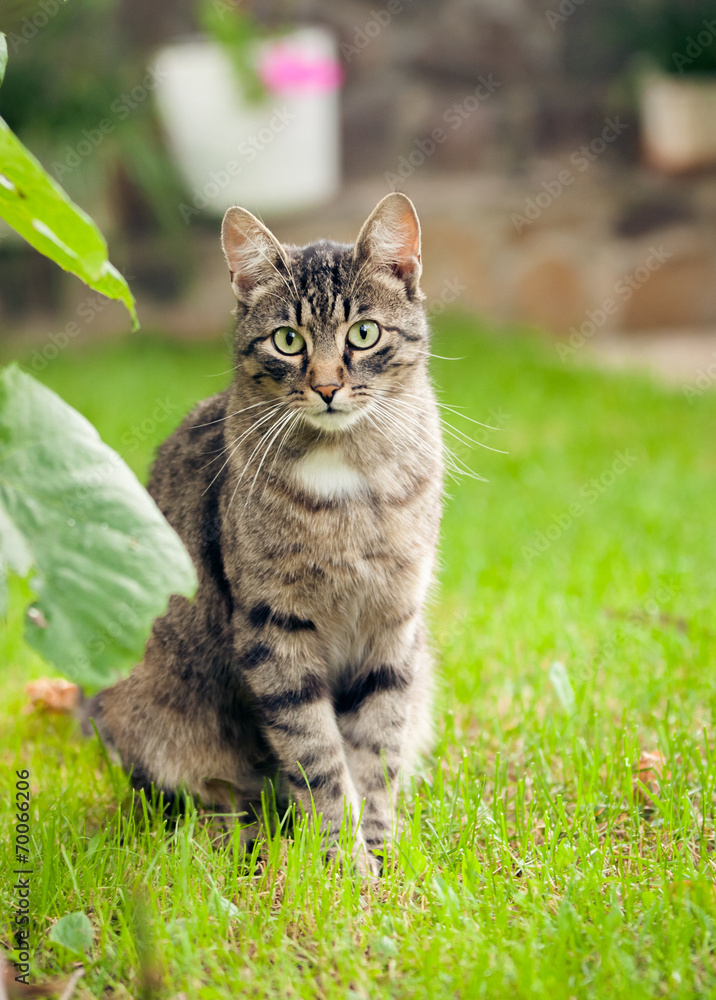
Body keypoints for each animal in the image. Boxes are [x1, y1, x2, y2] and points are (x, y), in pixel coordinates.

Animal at [85, 193, 442, 876]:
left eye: (364, 333)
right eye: (288, 340)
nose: (327, 387)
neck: (347, 479)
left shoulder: (393, 624)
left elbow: (375, 751)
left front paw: (379, 854)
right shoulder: (275, 629)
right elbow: (319, 757)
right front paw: (344, 866)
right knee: (205, 801)